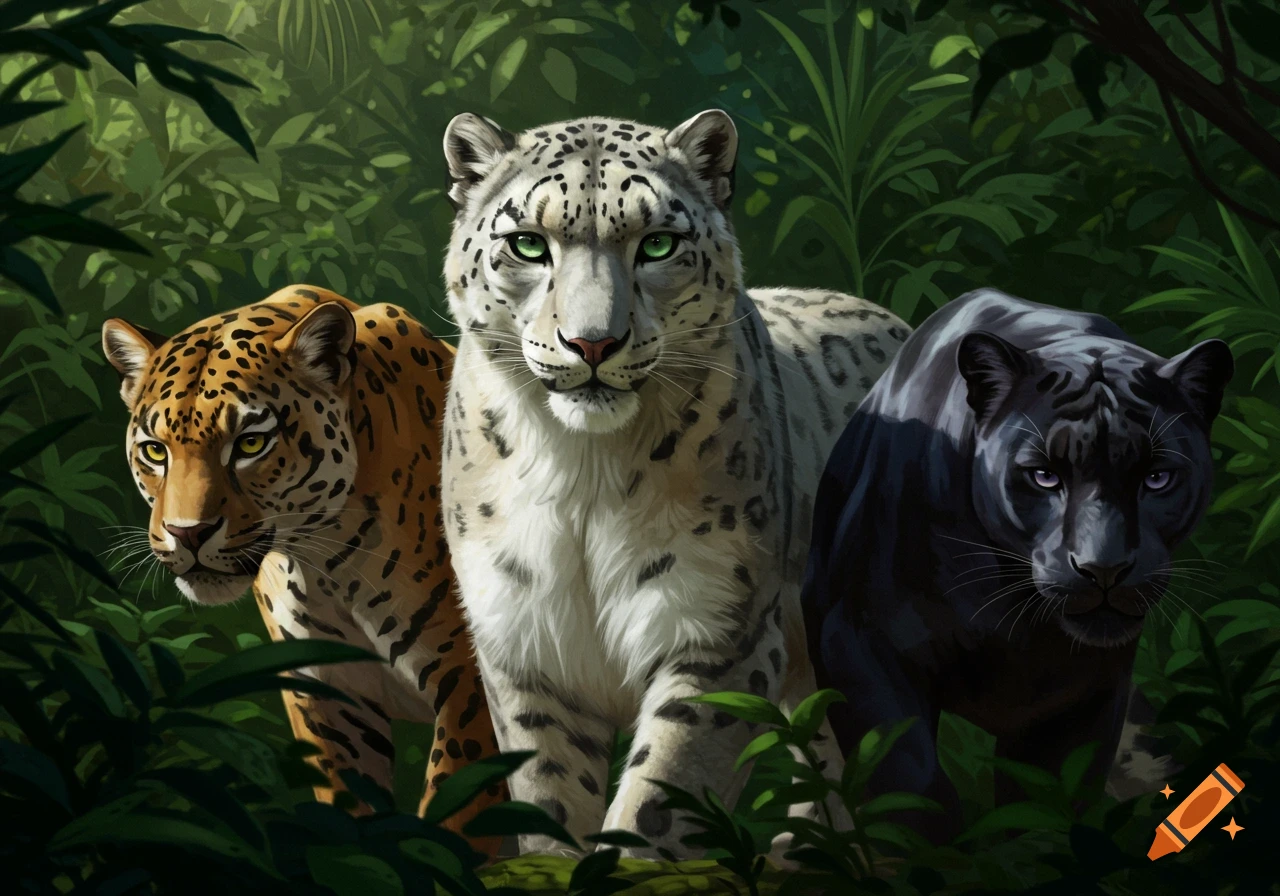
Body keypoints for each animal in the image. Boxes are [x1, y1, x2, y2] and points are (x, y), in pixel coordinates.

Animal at [101, 285, 507, 853]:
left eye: (251, 443)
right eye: (155, 451)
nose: (188, 533)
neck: (326, 561)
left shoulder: (472, 686)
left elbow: (456, 824)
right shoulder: (329, 699)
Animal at [436, 109, 911, 858]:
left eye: (657, 243)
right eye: (528, 244)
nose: (592, 343)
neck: (582, 472)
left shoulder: (716, 630)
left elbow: (662, 795)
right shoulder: (526, 645)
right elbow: (548, 795)